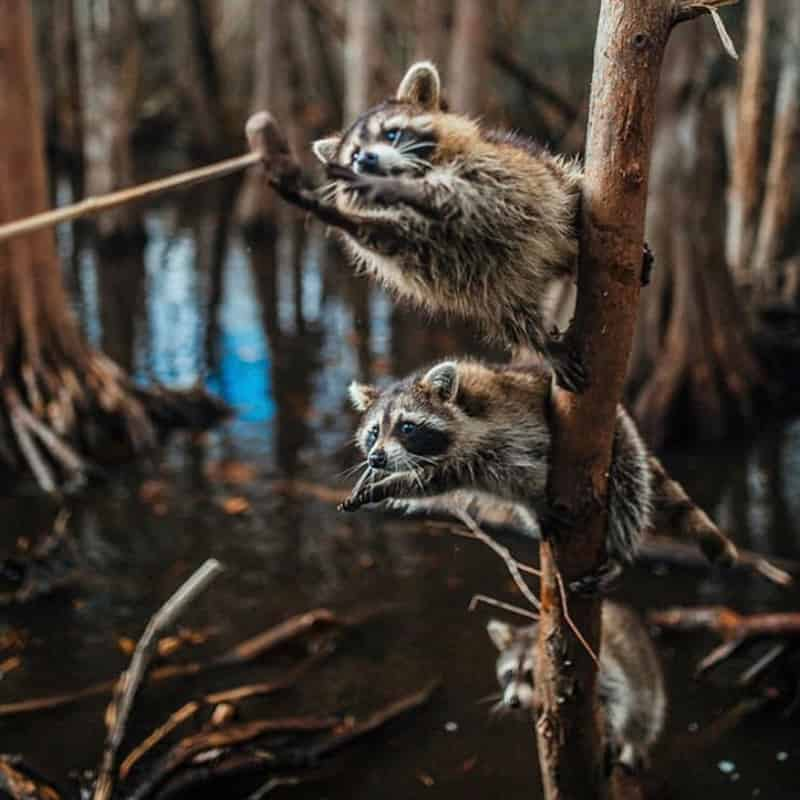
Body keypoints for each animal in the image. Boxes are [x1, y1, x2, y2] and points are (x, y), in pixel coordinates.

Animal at [250, 61, 588, 392]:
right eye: (354, 153)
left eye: (392, 134)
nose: (366, 161)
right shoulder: (417, 244)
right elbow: (390, 241)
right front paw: (342, 215)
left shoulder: (498, 173)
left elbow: (472, 195)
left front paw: (400, 188)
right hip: (499, 295)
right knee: (510, 315)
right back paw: (542, 342)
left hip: (557, 192)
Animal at [338, 360, 736, 580]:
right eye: (373, 432)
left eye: (406, 427)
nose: (376, 459)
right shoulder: (459, 466)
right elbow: (430, 483)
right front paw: (385, 486)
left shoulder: (508, 416)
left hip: (621, 440)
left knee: (629, 486)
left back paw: (618, 553)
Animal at [488, 604, 668, 772]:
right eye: (509, 674)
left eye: (531, 674)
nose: (513, 701)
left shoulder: (601, 666)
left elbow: (617, 694)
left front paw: (610, 732)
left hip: (647, 677)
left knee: (643, 716)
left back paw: (632, 748)